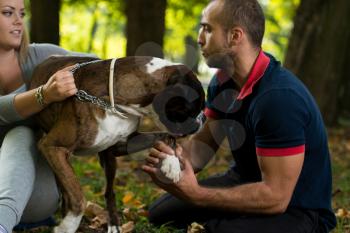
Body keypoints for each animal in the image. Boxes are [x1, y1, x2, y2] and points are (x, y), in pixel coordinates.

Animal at [30, 56, 206, 233]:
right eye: (194, 109)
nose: (204, 118)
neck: (114, 103)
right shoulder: (51, 146)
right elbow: (78, 196)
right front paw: (67, 226)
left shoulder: (120, 145)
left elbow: (166, 136)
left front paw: (171, 163)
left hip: (108, 161)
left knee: (108, 191)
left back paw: (113, 223)